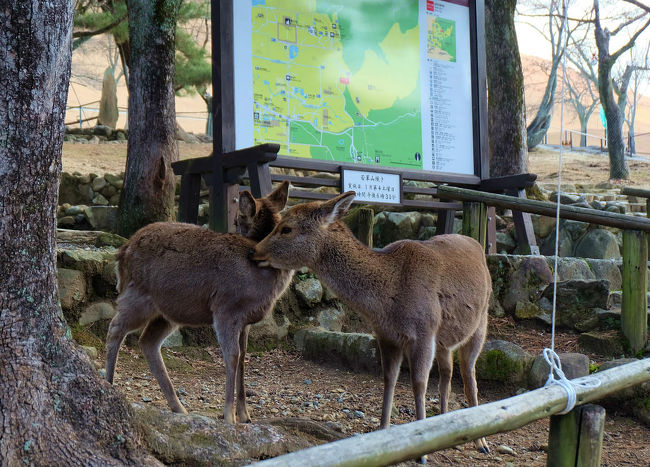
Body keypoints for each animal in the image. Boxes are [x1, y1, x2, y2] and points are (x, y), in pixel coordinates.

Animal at [105, 180, 293, 424]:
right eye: (236, 220)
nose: (234, 227)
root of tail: (122, 252)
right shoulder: (225, 309)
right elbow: (232, 357)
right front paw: (229, 416)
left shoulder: (246, 322)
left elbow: (244, 358)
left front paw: (245, 415)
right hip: (138, 296)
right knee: (115, 328)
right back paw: (108, 383)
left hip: (169, 310)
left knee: (147, 341)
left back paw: (179, 408)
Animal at [252, 191, 492, 455]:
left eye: (286, 228)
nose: (255, 251)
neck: (387, 301)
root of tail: (478, 245)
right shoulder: (386, 336)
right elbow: (388, 380)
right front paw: (382, 433)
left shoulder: (424, 331)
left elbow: (419, 384)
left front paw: (422, 449)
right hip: (445, 340)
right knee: (447, 372)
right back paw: (446, 421)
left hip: (481, 321)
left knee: (468, 373)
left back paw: (481, 442)